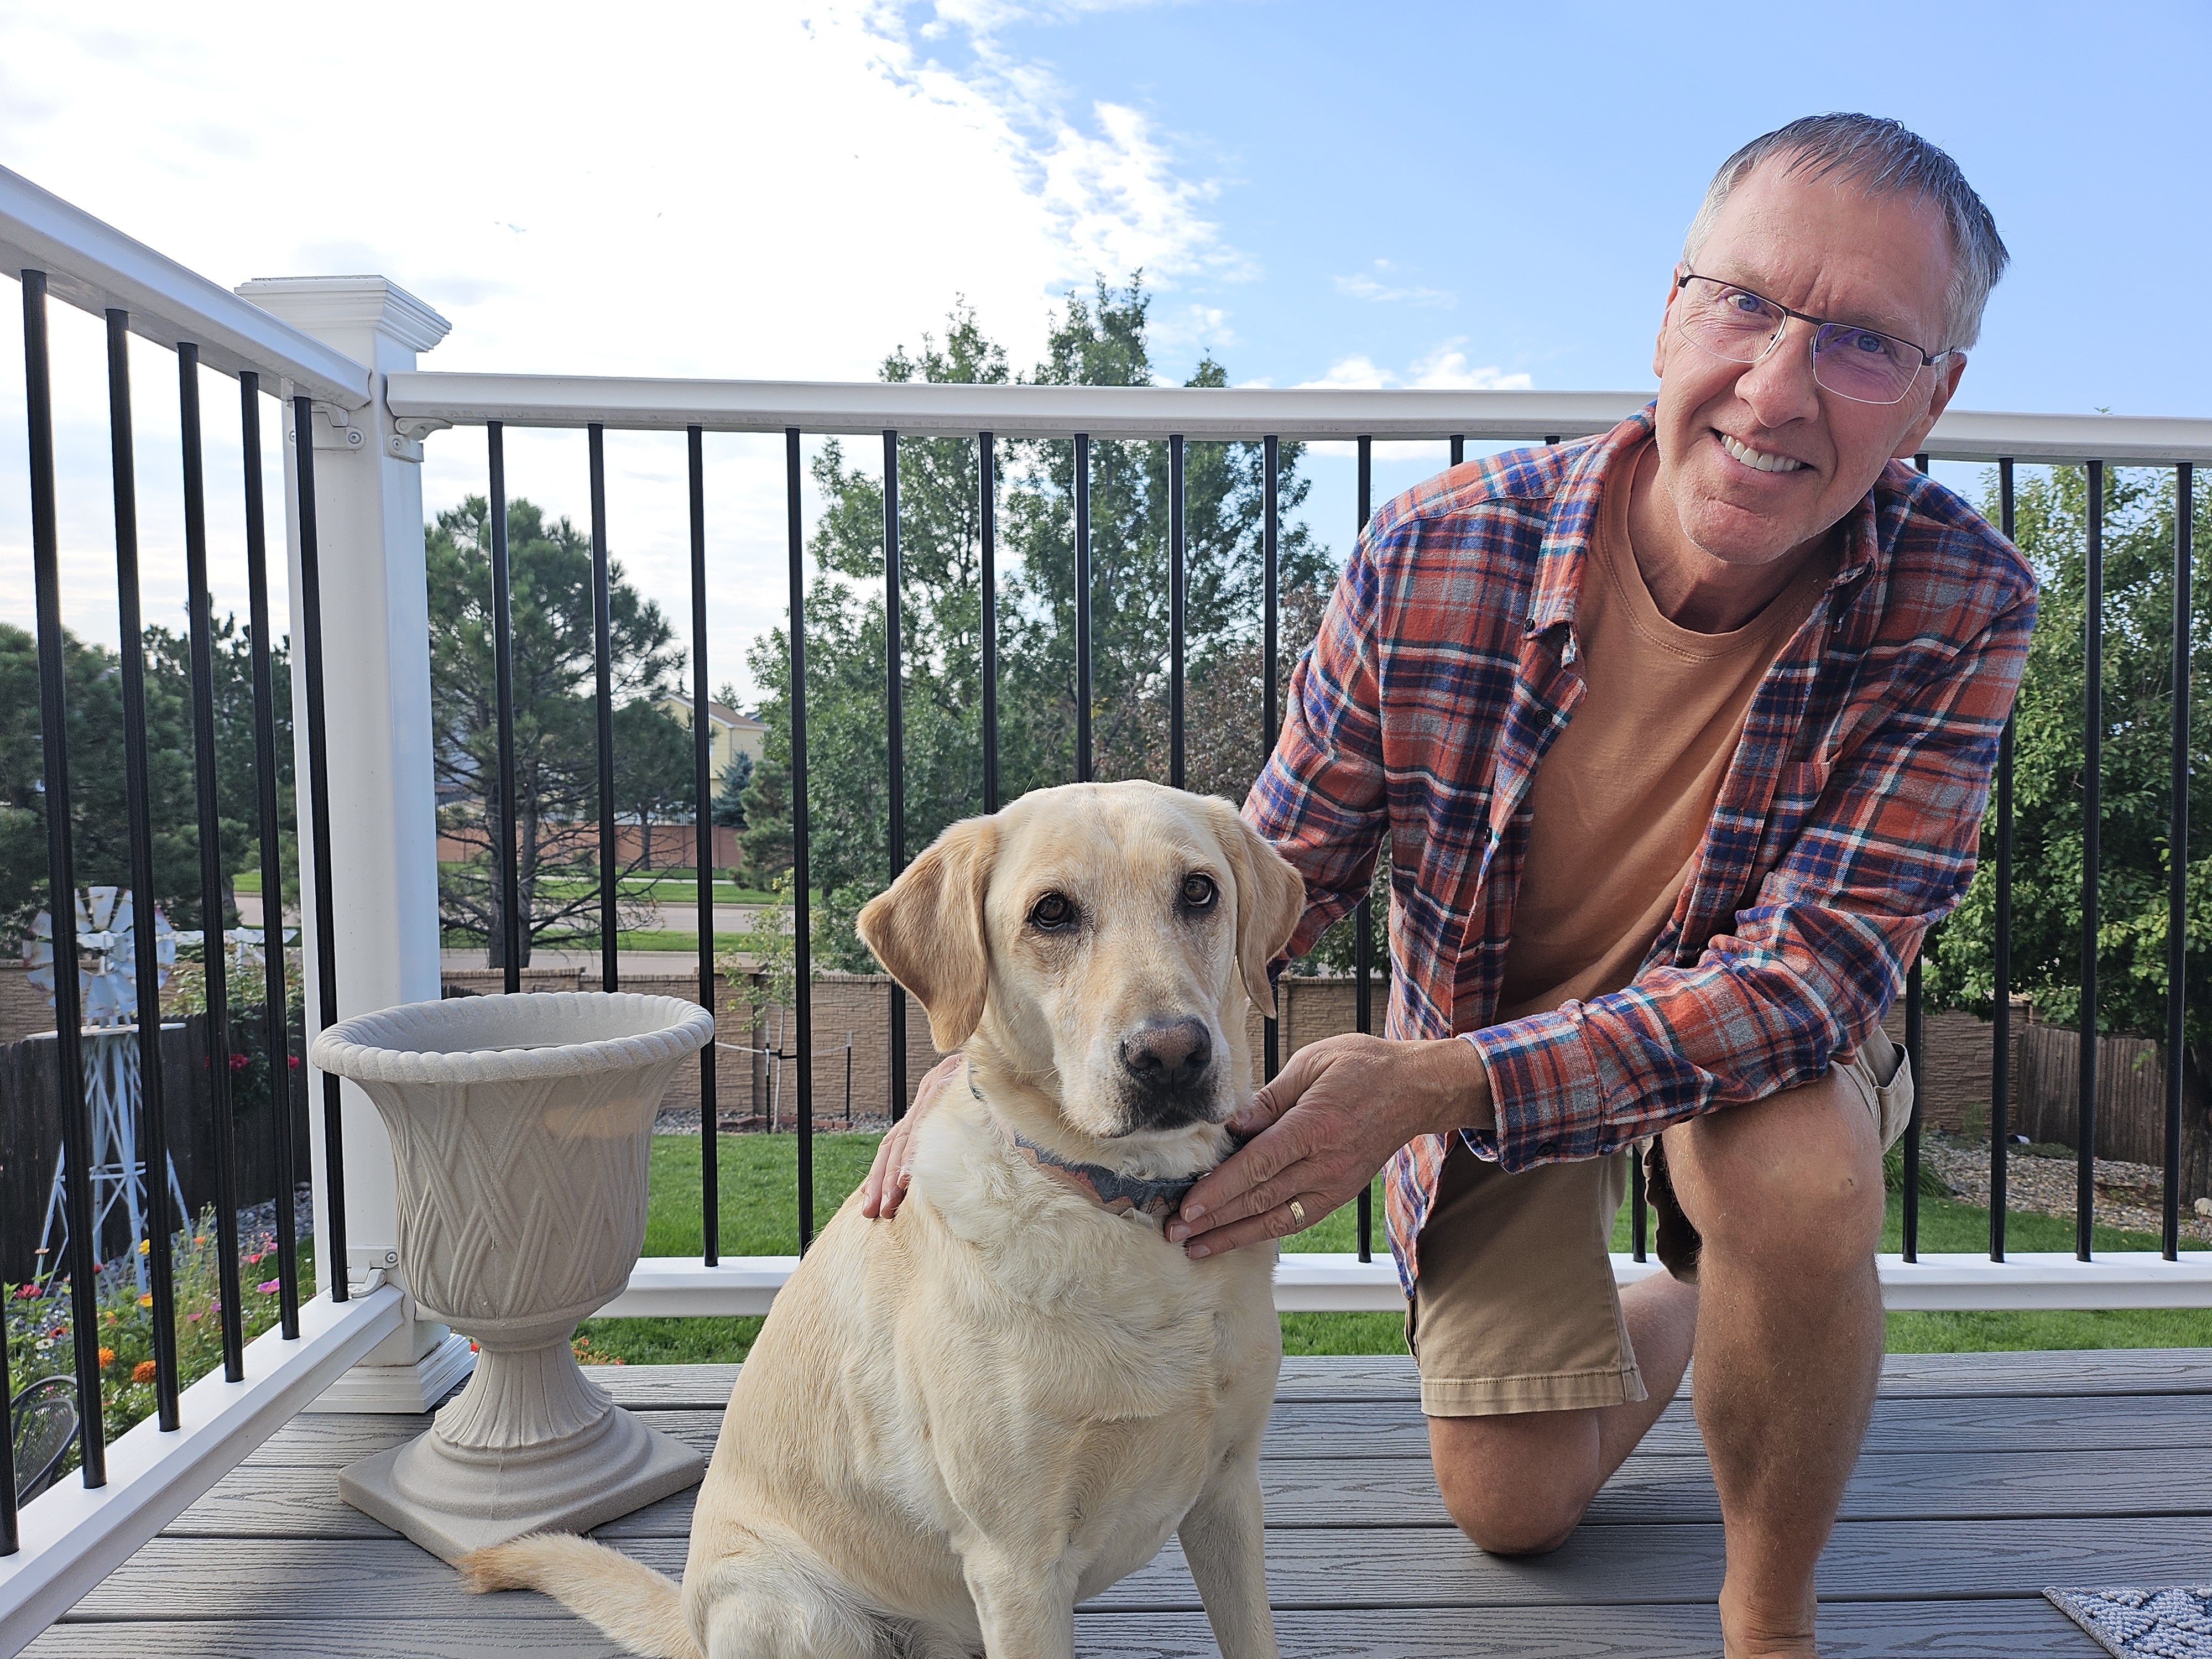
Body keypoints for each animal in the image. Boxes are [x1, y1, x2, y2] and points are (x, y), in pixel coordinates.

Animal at [461, 780, 1307, 1659]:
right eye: (1051, 913)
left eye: (1199, 892)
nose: (1171, 1055)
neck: (1122, 1207)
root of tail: (692, 1619)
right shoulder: (1018, 1566)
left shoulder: (1229, 1495)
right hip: (804, 1614)